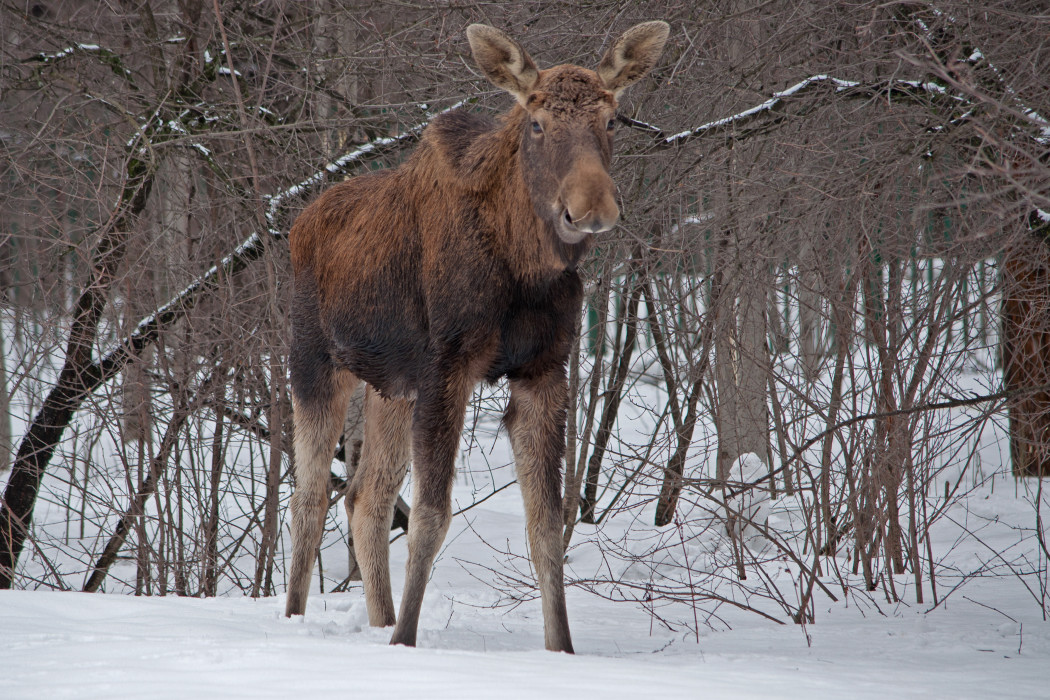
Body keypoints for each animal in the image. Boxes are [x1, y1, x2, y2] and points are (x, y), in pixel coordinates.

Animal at [283, 19, 667, 650]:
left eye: (612, 120)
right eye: (536, 123)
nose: (590, 206)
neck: (523, 268)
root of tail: (300, 222)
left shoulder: (544, 369)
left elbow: (547, 525)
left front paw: (562, 648)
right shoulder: (451, 365)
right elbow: (432, 516)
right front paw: (405, 641)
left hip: (391, 387)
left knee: (366, 497)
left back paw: (379, 618)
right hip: (315, 362)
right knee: (309, 496)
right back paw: (297, 617)